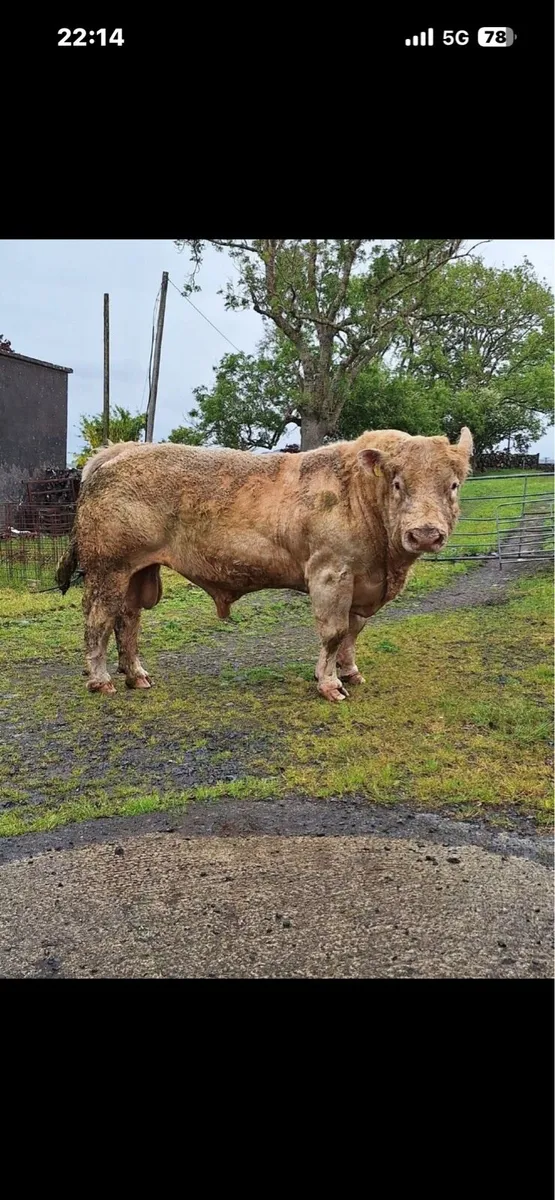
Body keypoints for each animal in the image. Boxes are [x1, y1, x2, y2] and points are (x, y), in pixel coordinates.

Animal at [56, 428, 473, 702]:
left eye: (453, 485)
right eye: (399, 483)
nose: (425, 533)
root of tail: (117, 452)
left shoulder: (362, 584)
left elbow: (353, 632)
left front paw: (350, 672)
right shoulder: (331, 573)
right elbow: (334, 632)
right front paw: (329, 685)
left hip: (137, 572)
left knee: (128, 620)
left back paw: (136, 675)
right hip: (108, 569)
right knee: (98, 620)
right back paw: (101, 680)